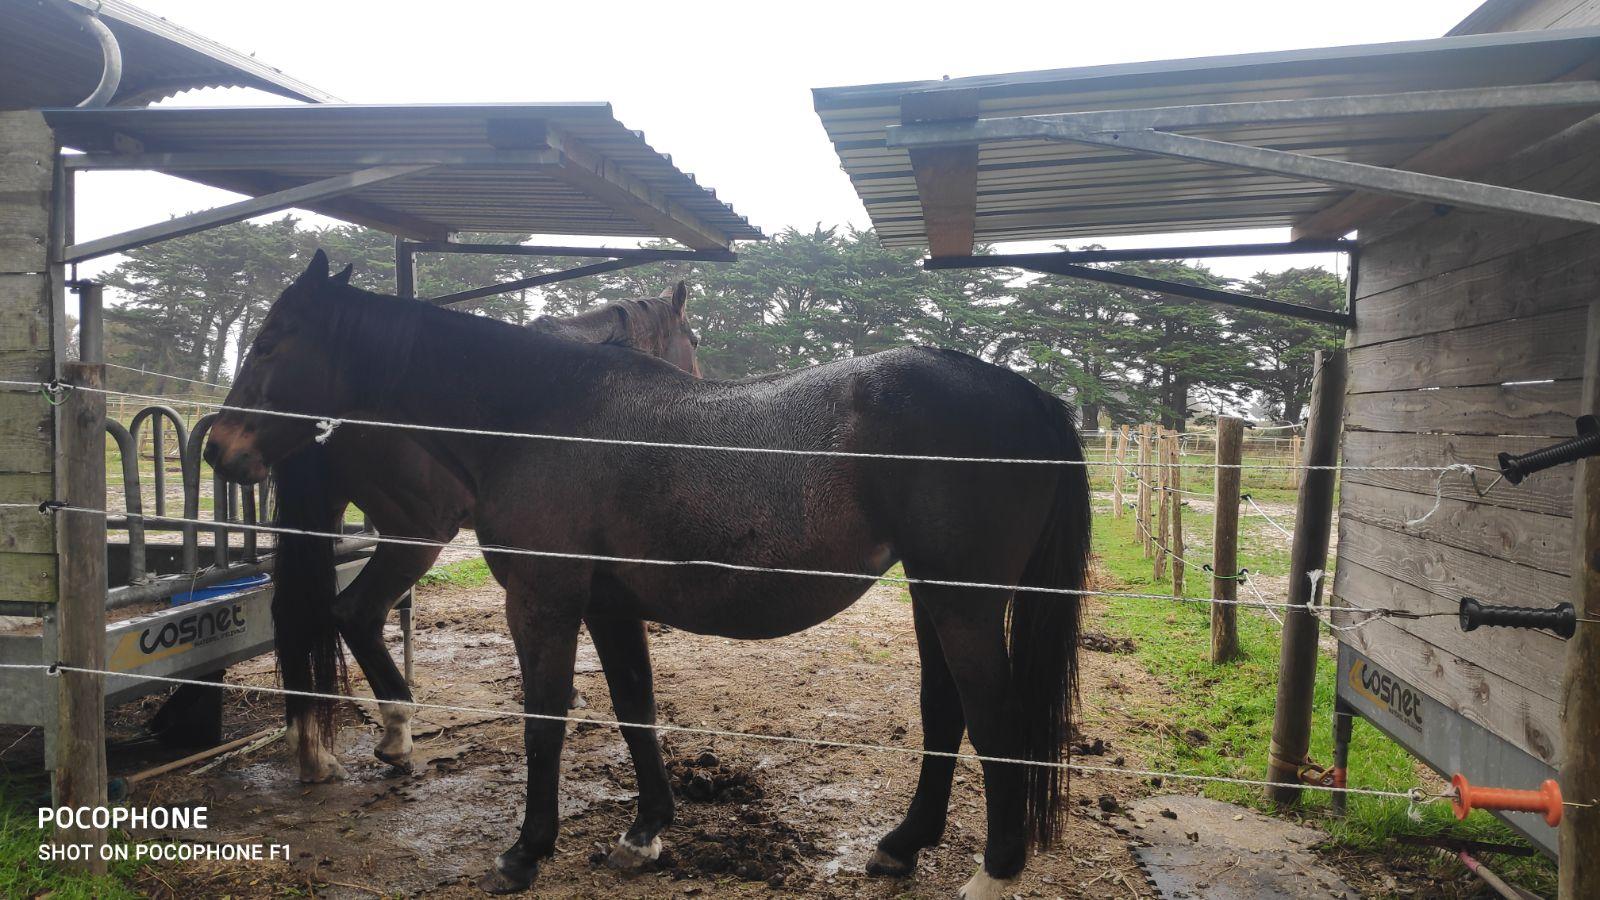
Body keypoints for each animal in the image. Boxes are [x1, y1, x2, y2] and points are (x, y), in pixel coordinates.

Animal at [272, 269, 704, 781]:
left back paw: (310, 744)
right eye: (693, 339)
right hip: (416, 535)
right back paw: (395, 731)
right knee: (355, 612)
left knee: (296, 612)